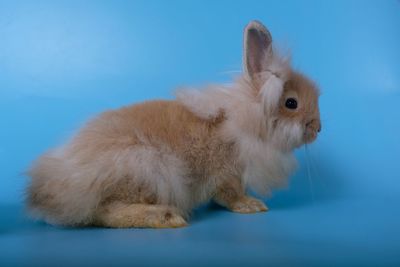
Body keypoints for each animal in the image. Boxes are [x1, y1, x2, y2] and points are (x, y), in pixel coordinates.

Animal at [26, 21, 320, 229]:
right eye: (291, 103)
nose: (317, 128)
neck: (245, 121)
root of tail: (52, 187)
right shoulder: (227, 174)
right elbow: (231, 194)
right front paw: (251, 205)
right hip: (148, 168)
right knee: (104, 212)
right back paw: (165, 217)